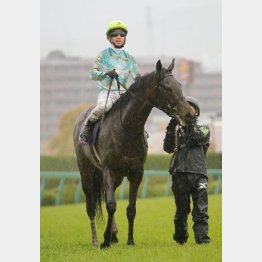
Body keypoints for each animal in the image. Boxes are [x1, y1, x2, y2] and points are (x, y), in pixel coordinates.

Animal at [72, 58, 195, 249]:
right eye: (166, 87)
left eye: (179, 85)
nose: (189, 114)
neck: (125, 129)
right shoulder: (108, 170)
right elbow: (111, 205)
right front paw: (105, 240)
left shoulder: (136, 172)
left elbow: (130, 208)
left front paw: (129, 240)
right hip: (87, 171)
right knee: (91, 205)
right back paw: (95, 240)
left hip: (116, 177)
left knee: (106, 197)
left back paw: (114, 234)